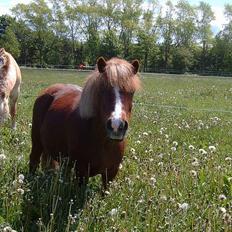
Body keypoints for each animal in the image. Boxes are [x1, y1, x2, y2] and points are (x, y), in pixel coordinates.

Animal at [29, 57, 140, 188]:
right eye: (102, 89)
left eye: (132, 92)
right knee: (33, 161)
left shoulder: (111, 173)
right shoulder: (81, 172)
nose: (116, 125)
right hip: (36, 142)